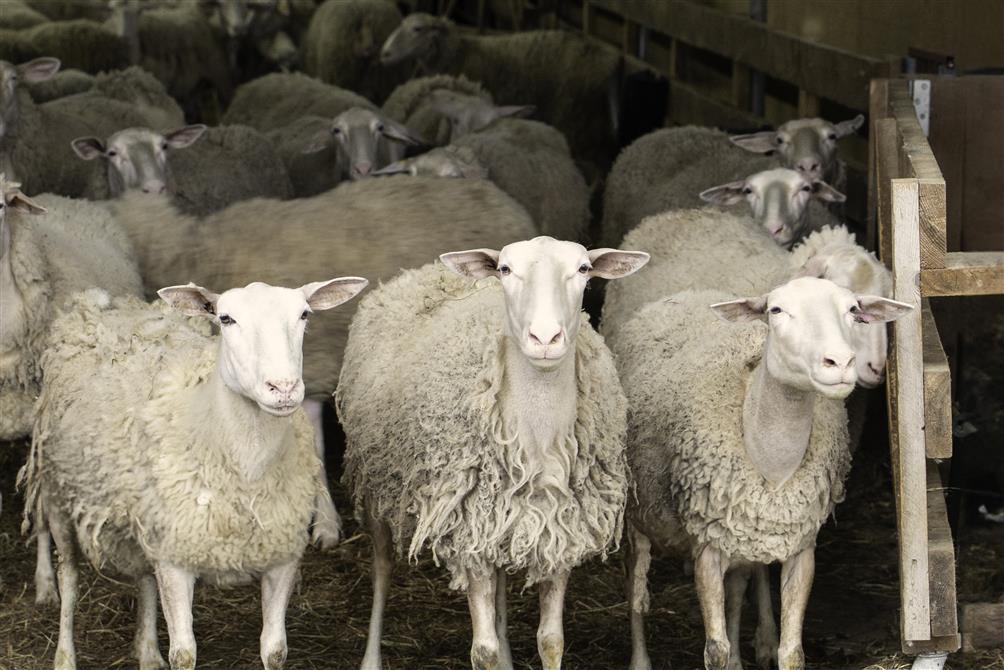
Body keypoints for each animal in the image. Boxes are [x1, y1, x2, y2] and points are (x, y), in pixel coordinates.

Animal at [21, 275, 367, 670]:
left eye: (304, 315)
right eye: (226, 319)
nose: (283, 388)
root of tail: (104, 306)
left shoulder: (281, 557)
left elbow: (275, 650)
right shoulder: (175, 563)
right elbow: (184, 655)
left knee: (144, 575)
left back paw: (147, 651)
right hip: (58, 492)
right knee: (70, 574)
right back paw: (64, 653)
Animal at [105, 175, 538, 546]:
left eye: (302, 316)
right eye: (227, 319)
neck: (197, 252)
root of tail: (500, 196)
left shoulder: (307, 370)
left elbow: (312, 447)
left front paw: (325, 525)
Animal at [337, 238, 650, 666]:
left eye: (584, 269)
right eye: (504, 269)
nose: (545, 339)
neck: (538, 438)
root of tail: (420, 271)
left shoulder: (558, 529)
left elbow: (551, 640)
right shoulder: (468, 531)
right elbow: (481, 651)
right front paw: (491, 653)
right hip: (375, 483)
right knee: (382, 569)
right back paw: (371, 657)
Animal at [610, 279, 911, 670]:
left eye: (853, 311)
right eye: (776, 310)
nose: (840, 362)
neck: (773, 463)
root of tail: (687, 293)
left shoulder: (799, 546)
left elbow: (792, 652)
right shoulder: (706, 547)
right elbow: (715, 651)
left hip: (743, 536)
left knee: (737, 589)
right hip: (637, 513)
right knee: (635, 588)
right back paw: (640, 658)